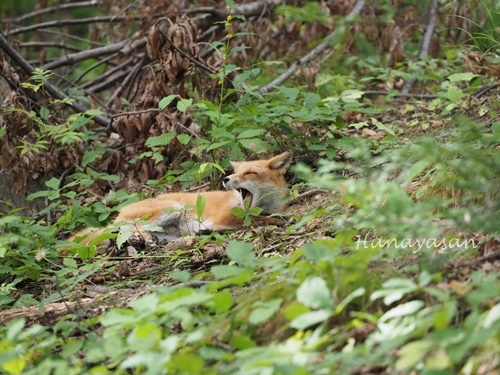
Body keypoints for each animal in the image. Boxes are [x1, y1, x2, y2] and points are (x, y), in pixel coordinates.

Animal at [66, 151, 292, 251]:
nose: (226, 179)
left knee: (124, 233)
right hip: (171, 209)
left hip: (171, 232)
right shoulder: (226, 217)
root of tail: (119, 212)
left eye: (250, 172)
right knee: (128, 229)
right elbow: (261, 219)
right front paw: (279, 221)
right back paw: (143, 239)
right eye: (236, 172)